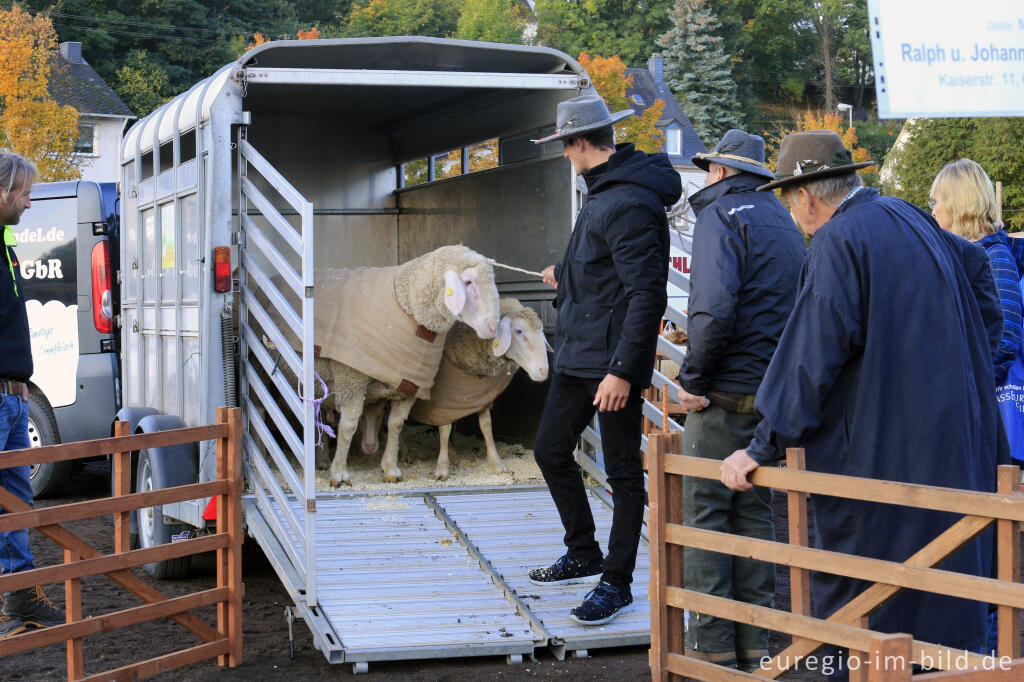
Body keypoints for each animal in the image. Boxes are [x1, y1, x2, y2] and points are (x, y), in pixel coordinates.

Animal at [315, 244, 499, 483]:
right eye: (468, 282)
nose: (493, 327)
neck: (406, 303)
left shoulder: (409, 386)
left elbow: (396, 424)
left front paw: (391, 470)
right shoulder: (350, 377)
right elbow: (348, 424)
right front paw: (339, 473)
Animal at [403, 296, 552, 477]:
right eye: (518, 331)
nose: (543, 371)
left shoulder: (479, 398)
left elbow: (486, 426)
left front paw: (496, 464)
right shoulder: (442, 400)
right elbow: (445, 429)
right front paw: (442, 467)